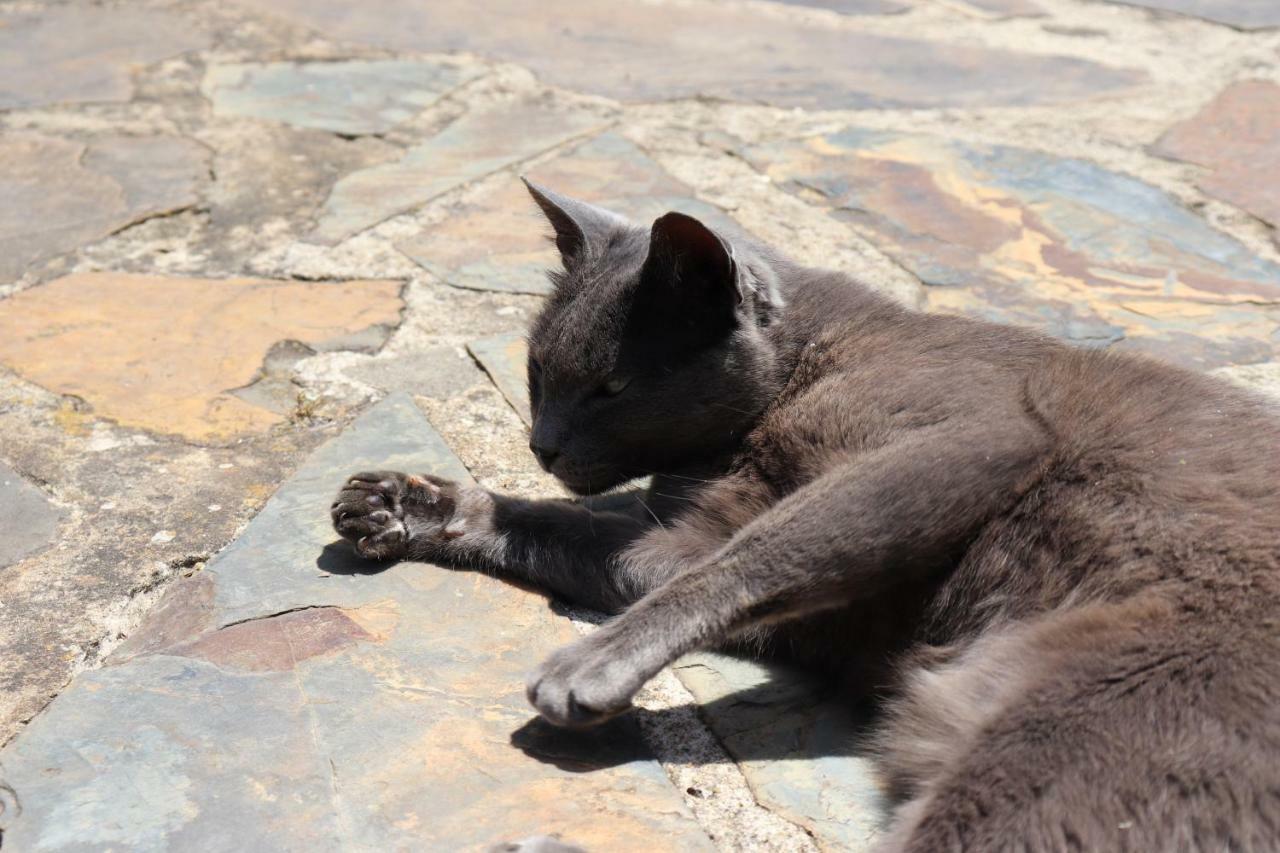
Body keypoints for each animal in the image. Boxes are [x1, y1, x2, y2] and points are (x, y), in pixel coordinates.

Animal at [332, 183, 1280, 845]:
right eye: (534, 373)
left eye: (610, 387)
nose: (543, 443)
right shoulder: (679, 534)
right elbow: (592, 540)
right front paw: (412, 505)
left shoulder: (972, 437)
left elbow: (765, 553)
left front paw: (593, 662)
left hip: (1069, 738)